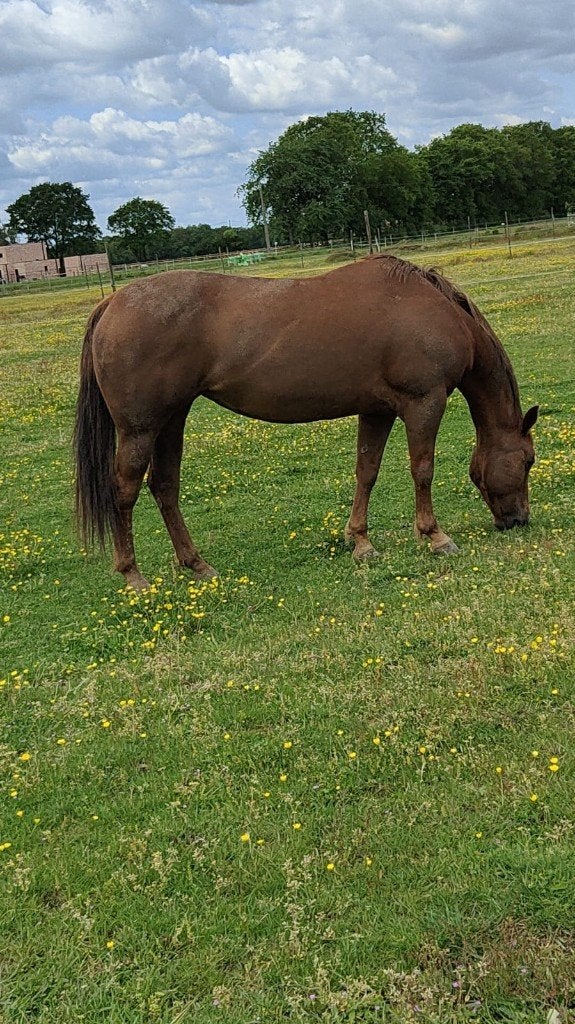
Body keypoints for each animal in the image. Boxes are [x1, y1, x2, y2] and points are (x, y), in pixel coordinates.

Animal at [74, 255, 538, 590]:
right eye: (529, 460)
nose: (518, 521)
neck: (437, 311)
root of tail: (112, 302)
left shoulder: (378, 409)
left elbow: (367, 471)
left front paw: (361, 542)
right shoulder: (424, 402)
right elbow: (422, 470)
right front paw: (435, 536)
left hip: (172, 419)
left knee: (165, 487)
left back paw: (197, 564)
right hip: (140, 429)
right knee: (125, 491)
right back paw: (133, 574)